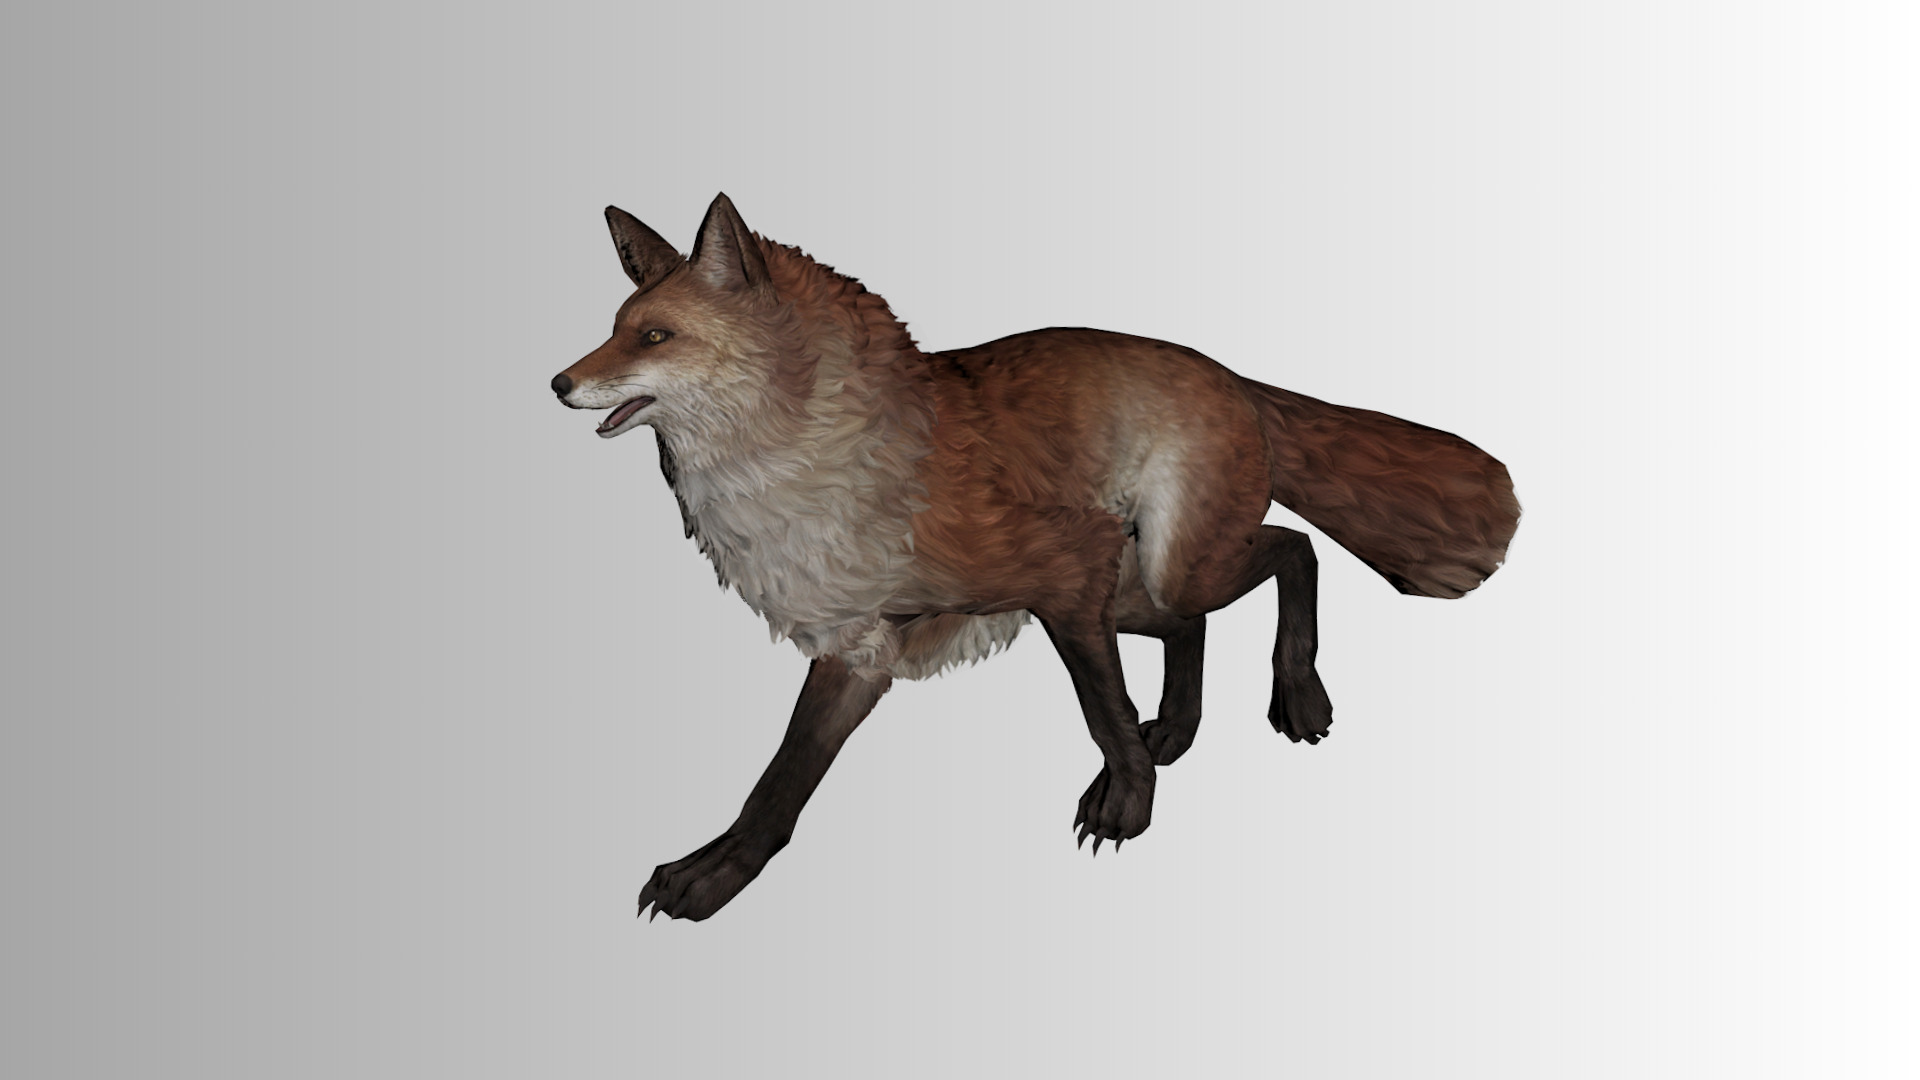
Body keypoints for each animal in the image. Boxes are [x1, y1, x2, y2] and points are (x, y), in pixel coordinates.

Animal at [552, 193, 1520, 921]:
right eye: (615, 328)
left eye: (654, 338)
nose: (558, 383)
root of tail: (1228, 374)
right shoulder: (862, 644)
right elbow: (778, 785)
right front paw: (715, 876)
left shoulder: (1063, 567)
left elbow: (1102, 711)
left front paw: (1126, 805)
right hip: (1136, 589)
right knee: (1197, 624)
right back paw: (1178, 728)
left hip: (1164, 566)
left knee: (1296, 548)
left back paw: (1297, 694)